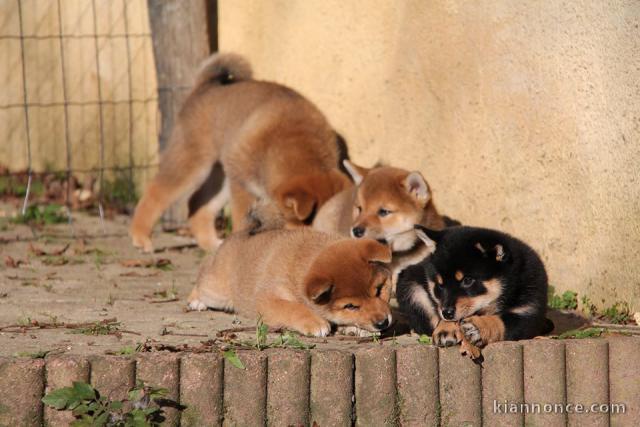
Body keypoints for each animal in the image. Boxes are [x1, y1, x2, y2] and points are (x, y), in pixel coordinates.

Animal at [131, 54, 350, 254]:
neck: (295, 141)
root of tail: (205, 87)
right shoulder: (242, 186)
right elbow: (242, 221)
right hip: (194, 161)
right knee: (156, 192)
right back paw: (140, 237)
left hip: (220, 176)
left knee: (198, 205)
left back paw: (211, 244)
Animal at [188, 229, 392, 336]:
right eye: (350, 306)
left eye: (379, 291)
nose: (383, 323)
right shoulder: (266, 299)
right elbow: (292, 308)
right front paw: (314, 322)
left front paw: (356, 328)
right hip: (217, 292)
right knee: (202, 277)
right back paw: (195, 301)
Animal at [398, 224, 552, 348]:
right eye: (439, 285)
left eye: (468, 280)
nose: (447, 313)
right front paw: (445, 328)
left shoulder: (529, 313)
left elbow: (501, 321)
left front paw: (478, 327)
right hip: (411, 287)